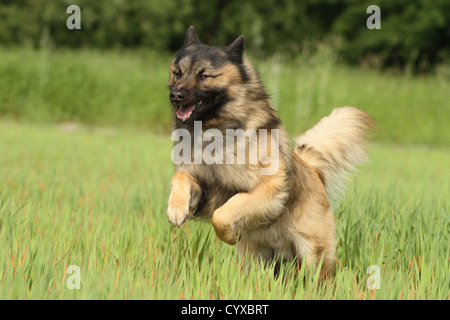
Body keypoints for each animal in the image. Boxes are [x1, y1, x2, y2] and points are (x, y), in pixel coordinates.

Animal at [167, 26, 374, 276]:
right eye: (177, 73)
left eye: (204, 75)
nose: (175, 95)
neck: (215, 131)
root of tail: (312, 169)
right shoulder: (203, 185)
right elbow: (181, 176)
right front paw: (176, 209)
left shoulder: (269, 187)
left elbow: (222, 215)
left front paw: (229, 236)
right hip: (255, 258)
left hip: (313, 255)